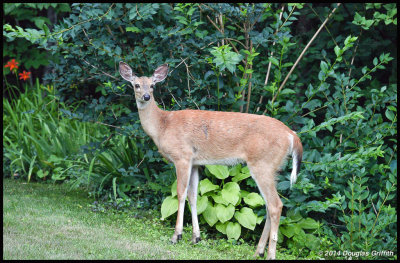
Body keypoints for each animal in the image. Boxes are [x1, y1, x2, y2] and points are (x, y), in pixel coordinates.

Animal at [119, 61, 304, 260]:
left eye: (152, 85)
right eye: (136, 85)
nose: (146, 96)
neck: (162, 125)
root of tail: (292, 135)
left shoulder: (182, 156)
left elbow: (180, 193)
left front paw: (176, 236)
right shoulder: (195, 162)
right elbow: (193, 196)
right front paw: (196, 237)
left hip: (262, 163)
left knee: (275, 205)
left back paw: (269, 254)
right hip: (272, 168)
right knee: (270, 206)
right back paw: (258, 251)